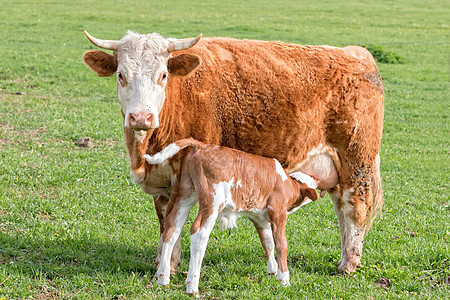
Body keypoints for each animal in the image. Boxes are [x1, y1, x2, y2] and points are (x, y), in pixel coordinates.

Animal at [142, 138, 318, 292]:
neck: (287, 182)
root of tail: (203, 146)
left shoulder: (259, 217)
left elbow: (267, 242)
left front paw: (272, 271)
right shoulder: (278, 212)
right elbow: (281, 244)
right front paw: (284, 279)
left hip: (184, 195)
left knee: (171, 230)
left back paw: (163, 278)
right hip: (213, 200)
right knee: (199, 233)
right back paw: (192, 287)